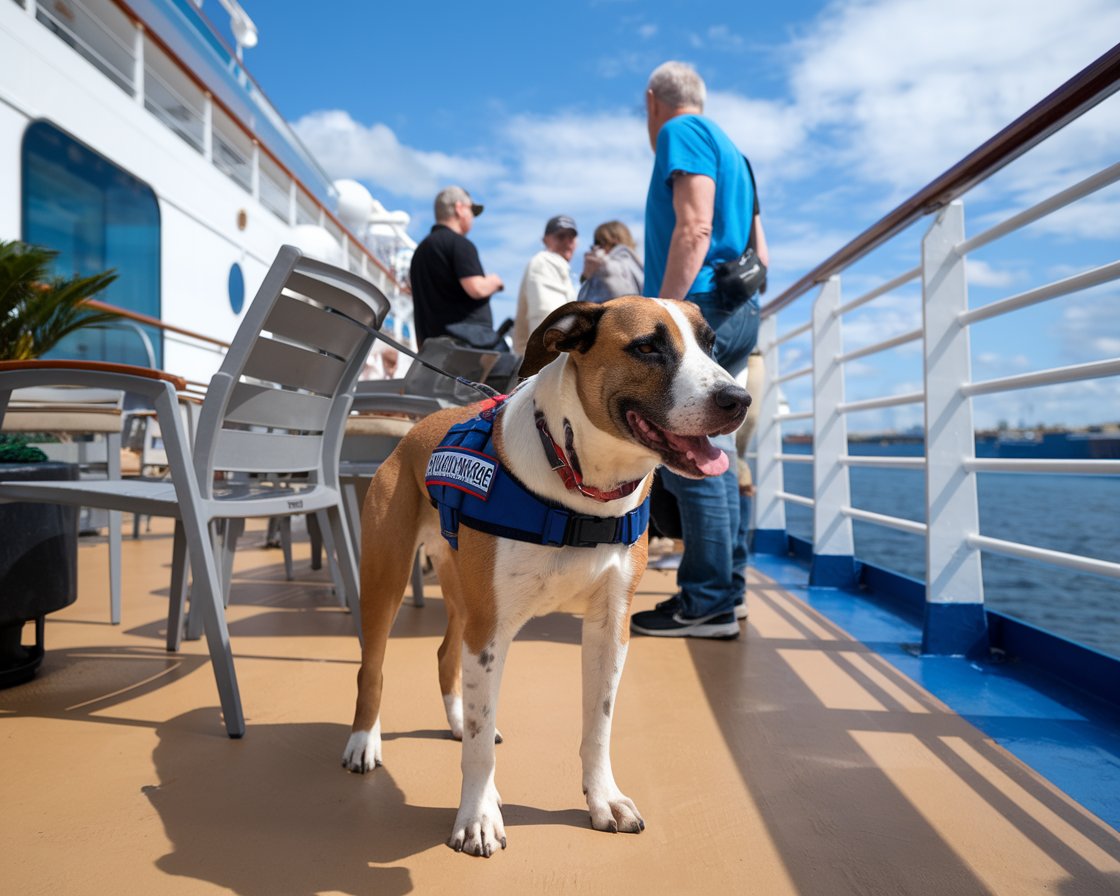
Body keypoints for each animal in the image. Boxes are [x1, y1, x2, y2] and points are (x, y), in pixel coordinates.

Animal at [340, 297, 743, 855]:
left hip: (462, 594)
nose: (738, 399)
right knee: (372, 667)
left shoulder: (608, 627)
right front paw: (478, 815)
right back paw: (364, 741)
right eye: (647, 347)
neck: (580, 486)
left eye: (710, 344)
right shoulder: (491, 629)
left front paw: (602, 799)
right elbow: (481, 748)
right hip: (388, 579)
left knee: (446, 657)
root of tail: (419, 428)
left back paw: (455, 722)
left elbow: (598, 725)